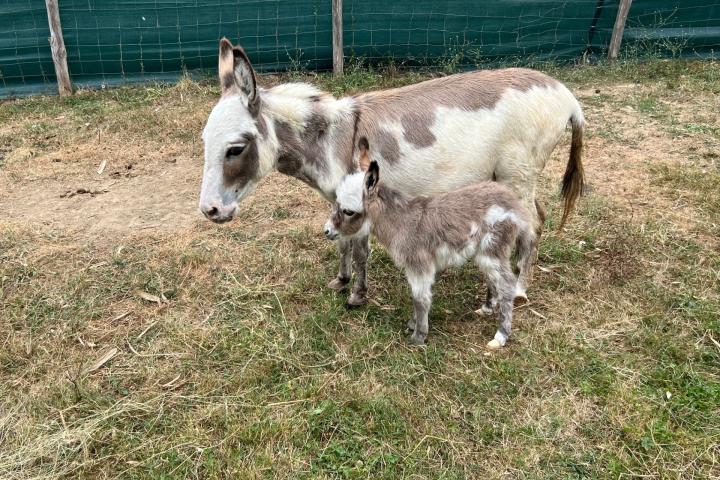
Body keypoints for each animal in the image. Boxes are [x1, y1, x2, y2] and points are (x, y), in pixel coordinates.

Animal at [324, 142, 536, 348]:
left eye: (348, 211)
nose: (327, 231)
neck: (401, 221)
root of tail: (514, 204)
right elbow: (418, 296)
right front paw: (413, 325)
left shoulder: (419, 265)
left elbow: (421, 299)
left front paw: (418, 337)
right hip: (486, 253)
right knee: (494, 280)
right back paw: (486, 309)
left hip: (493, 249)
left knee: (507, 285)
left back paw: (500, 337)